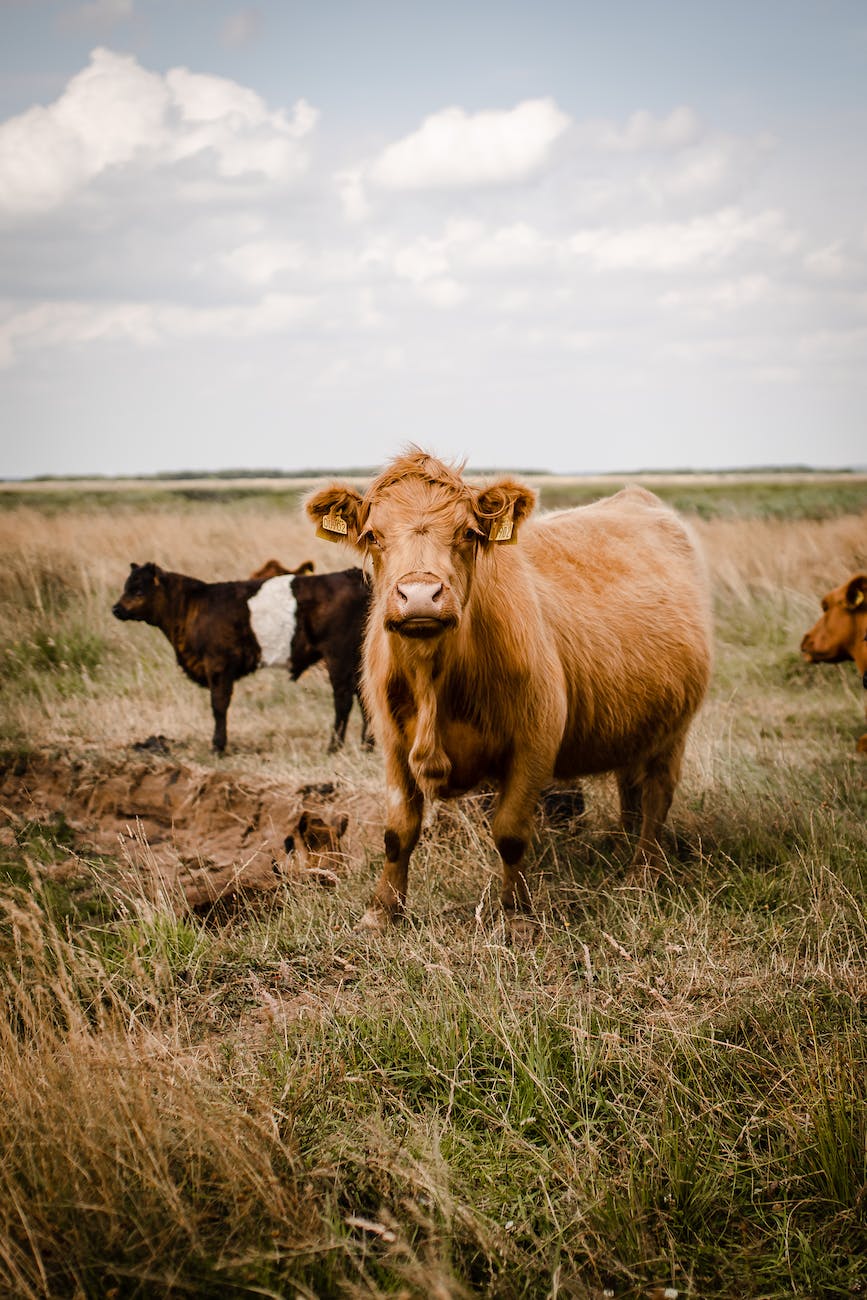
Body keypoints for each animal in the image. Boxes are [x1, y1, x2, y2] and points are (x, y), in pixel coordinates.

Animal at [308, 452, 717, 930]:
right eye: (373, 535)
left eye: (468, 532)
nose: (420, 596)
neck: (434, 682)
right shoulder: (392, 743)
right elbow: (398, 831)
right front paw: (381, 912)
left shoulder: (534, 741)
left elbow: (510, 833)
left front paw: (518, 915)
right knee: (631, 787)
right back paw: (622, 846)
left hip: (674, 729)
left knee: (657, 794)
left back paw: (643, 873)